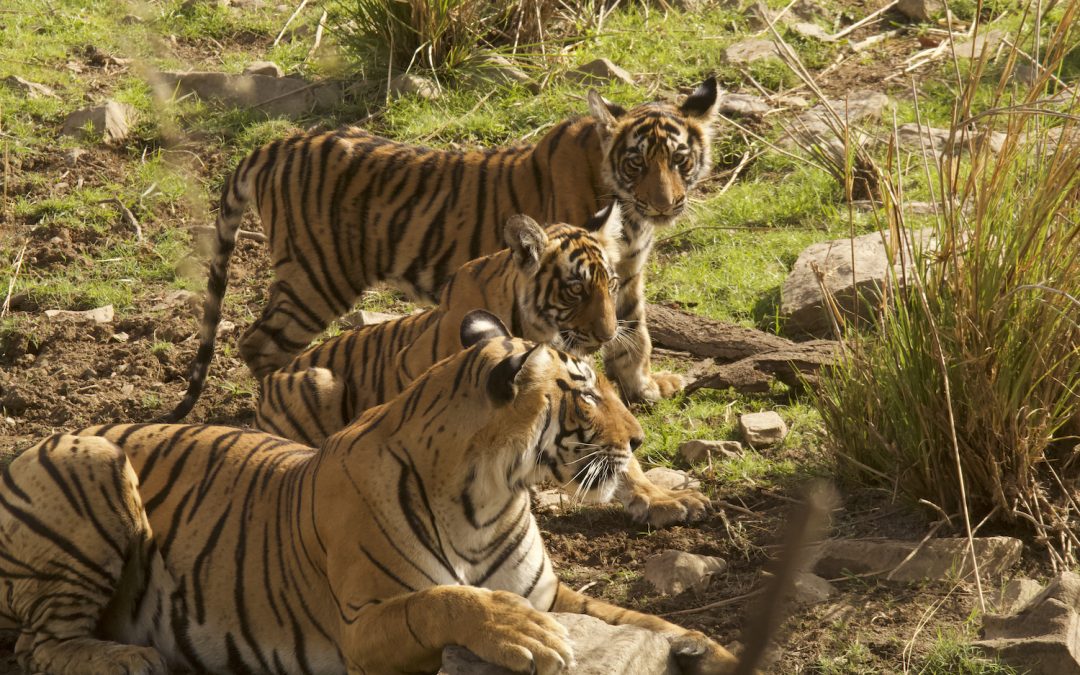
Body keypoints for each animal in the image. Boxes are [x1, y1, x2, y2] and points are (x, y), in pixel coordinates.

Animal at [0, 311, 750, 675]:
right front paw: (519, 633)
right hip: (93, 465)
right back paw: (130, 659)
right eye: (586, 391)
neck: (494, 496)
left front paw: (715, 651)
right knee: (37, 644)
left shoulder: (554, 591)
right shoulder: (362, 626)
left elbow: (640, 618)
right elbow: (444, 601)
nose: (641, 437)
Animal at [168, 77, 720, 420]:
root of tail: (278, 143)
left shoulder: (624, 273)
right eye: (636, 163)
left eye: (679, 159)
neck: (631, 216)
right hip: (316, 278)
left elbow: (634, 334)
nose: (666, 203)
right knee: (258, 343)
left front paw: (645, 389)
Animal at [253, 207, 709, 527]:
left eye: (611, 285)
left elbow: (621, 456)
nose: (609, 332)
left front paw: (663, 499)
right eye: (576, 288)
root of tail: (269, 381)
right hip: (322, 380)